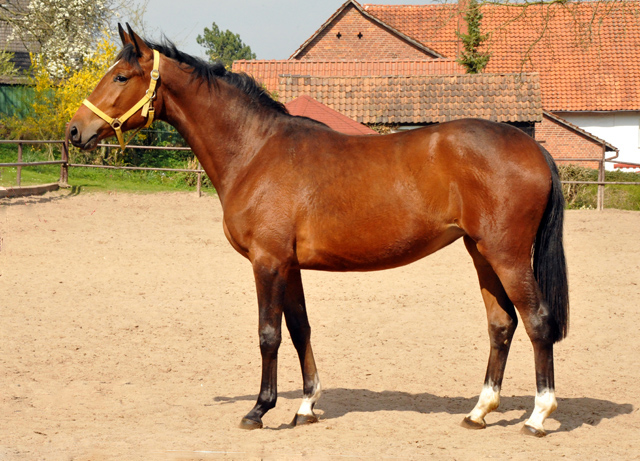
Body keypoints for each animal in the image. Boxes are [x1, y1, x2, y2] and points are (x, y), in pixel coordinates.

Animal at [69, 24, 568, 434]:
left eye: (120, 77)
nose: (75, 131)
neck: (255, 150)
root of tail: (533, 148)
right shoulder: (289, 266)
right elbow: (299, 329)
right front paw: (306, 406)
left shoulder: (267, 263)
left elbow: (268, 334)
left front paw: (259, 409)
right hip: (480, 252)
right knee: (501, 324)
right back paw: (479, 411)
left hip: (506, 255)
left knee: (537, 321)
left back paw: (538, 416)